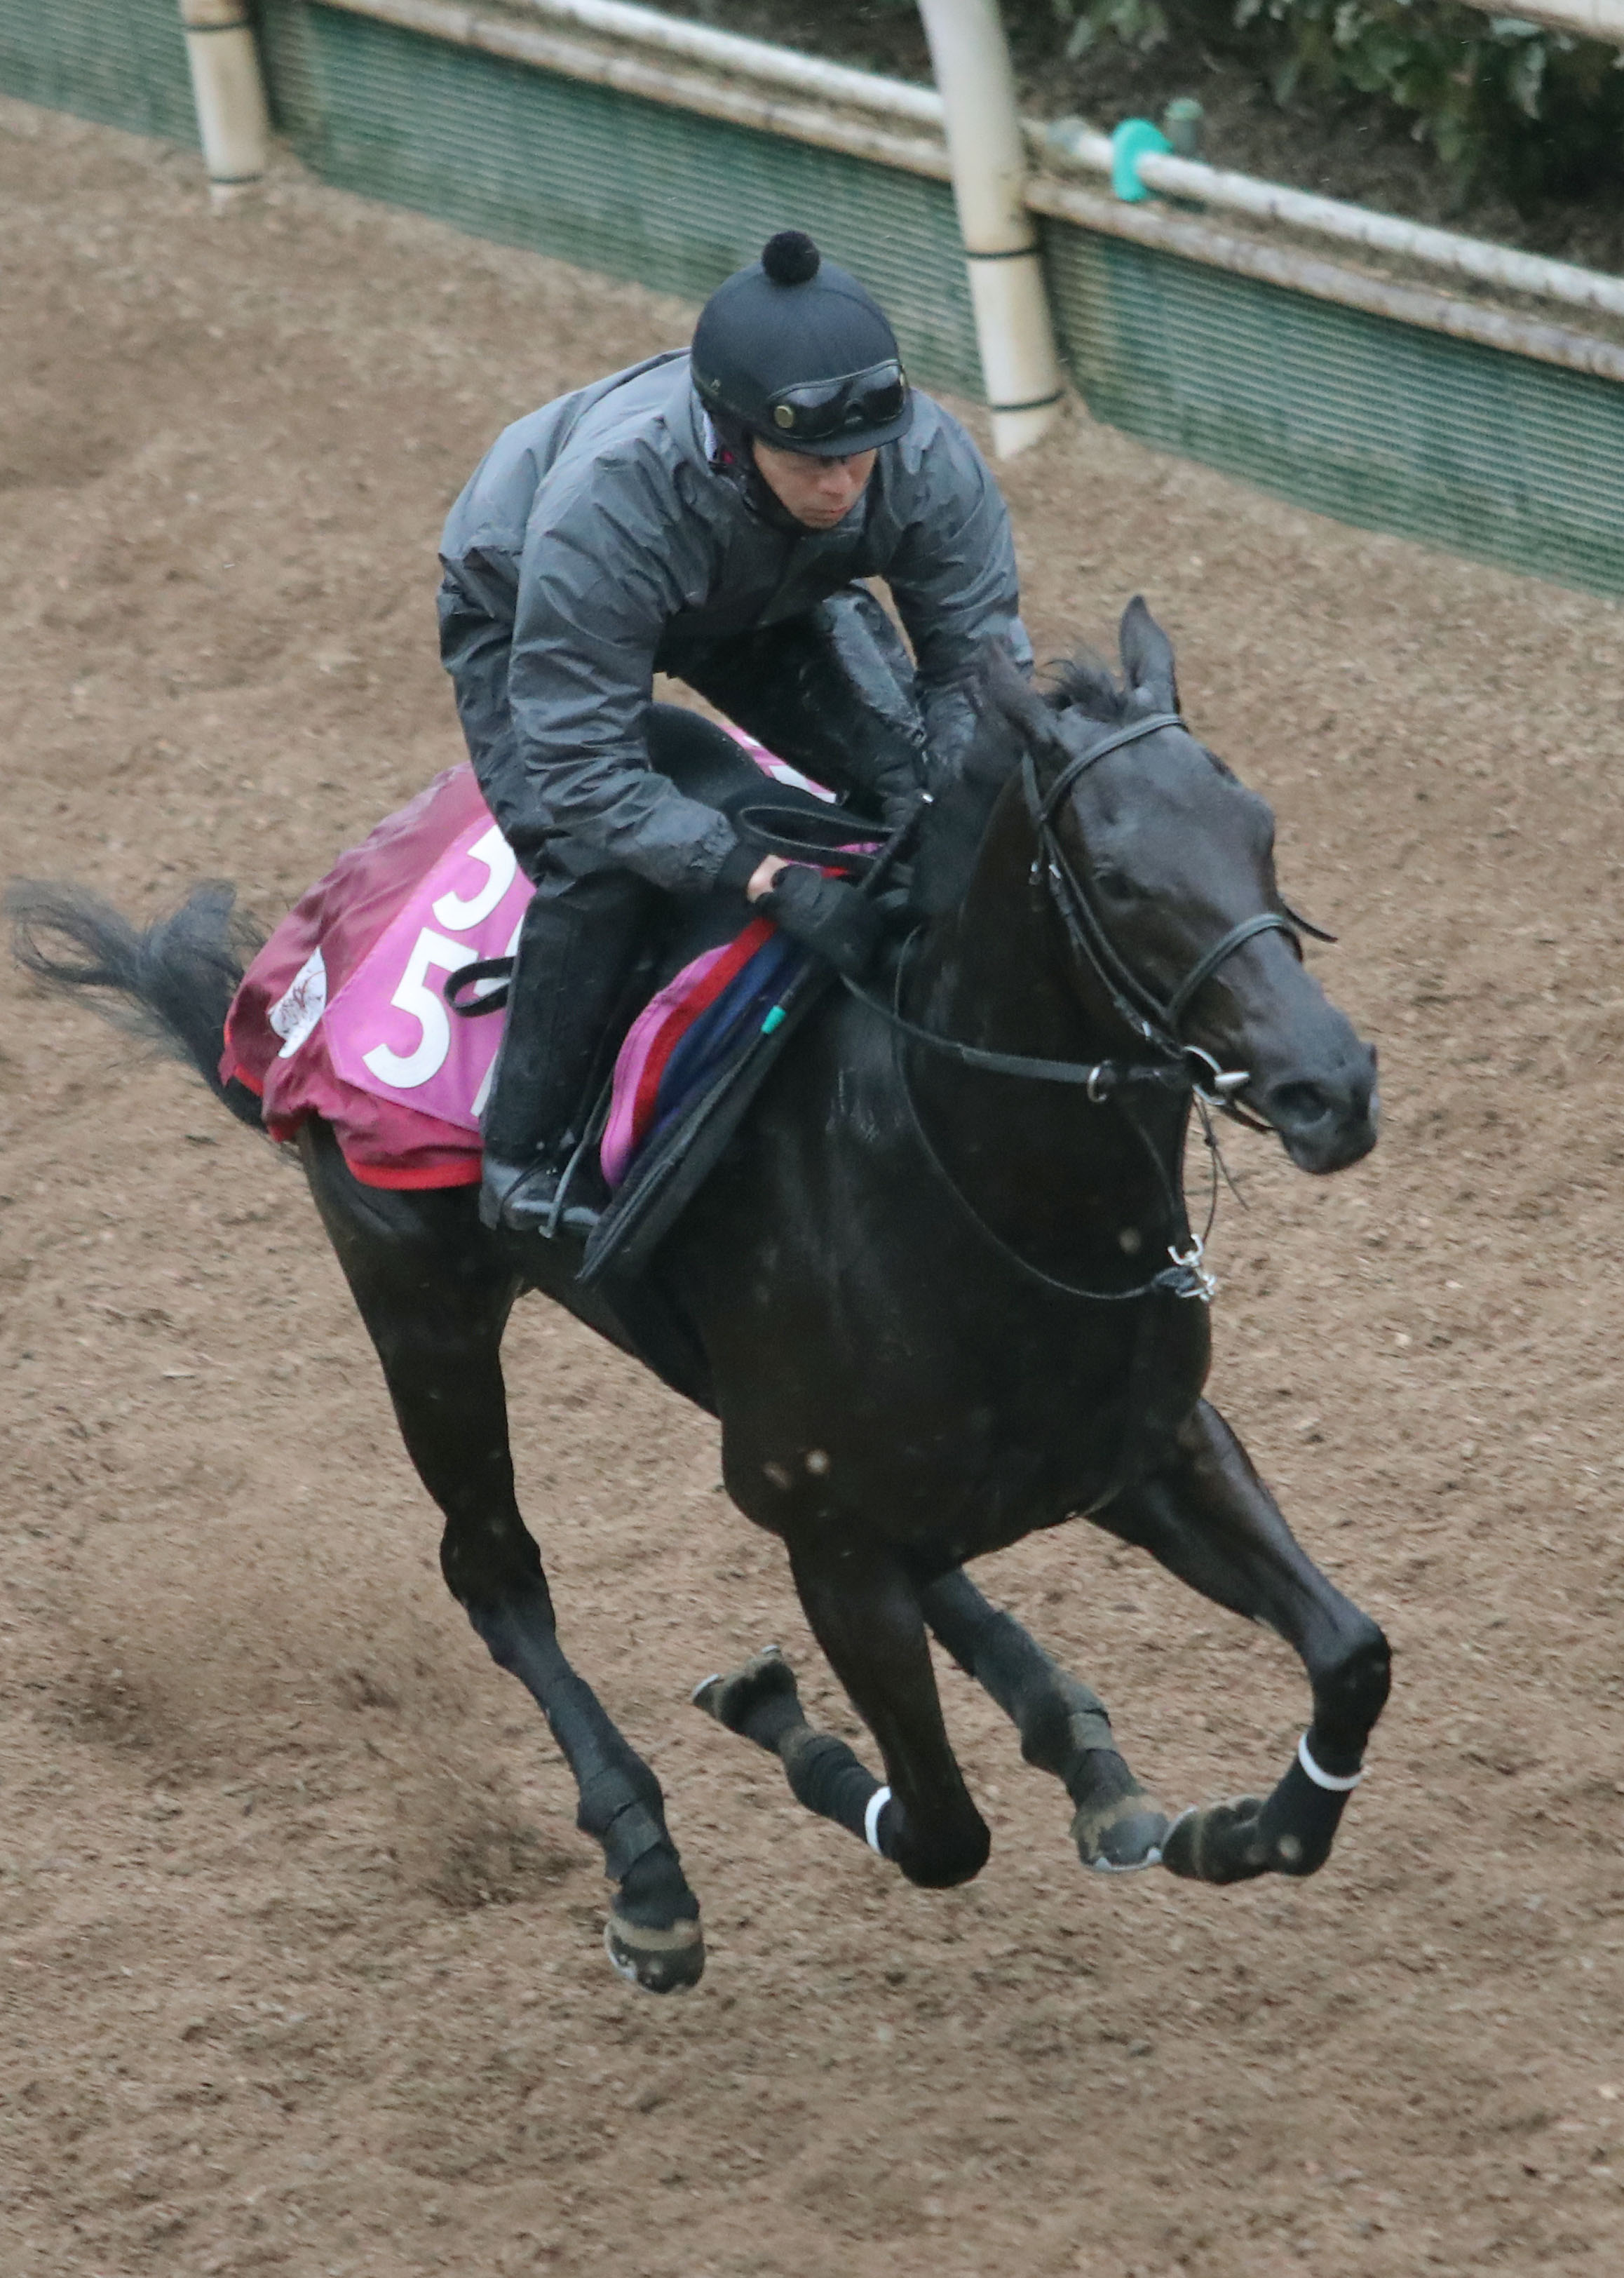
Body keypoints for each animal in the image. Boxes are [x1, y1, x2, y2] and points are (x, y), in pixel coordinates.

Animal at [10, 599, 1389, 1995]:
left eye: (1261, 829)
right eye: (1114, 878)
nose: (1329, 1085)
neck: (984, 1192)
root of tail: (296, 978)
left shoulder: (1146, 1446)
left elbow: (1350, 1656)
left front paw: (1231, 1828)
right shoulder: (831, 1539)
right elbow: (939, 1828)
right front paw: (774, 1716)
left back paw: (1076, 1742)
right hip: (420, 1310)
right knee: (493, 1572)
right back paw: (648, 1868)